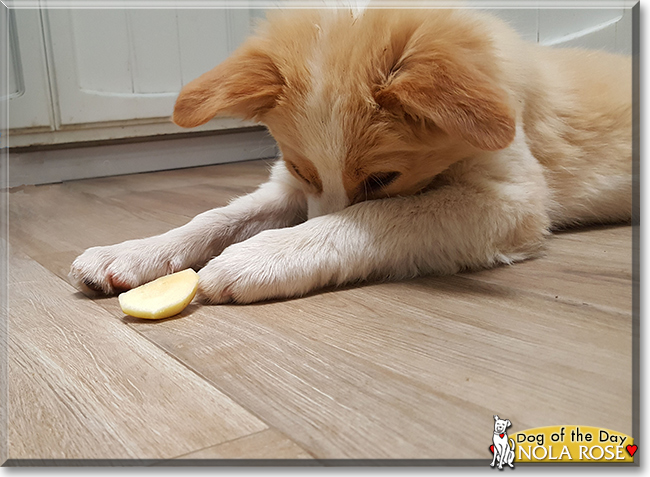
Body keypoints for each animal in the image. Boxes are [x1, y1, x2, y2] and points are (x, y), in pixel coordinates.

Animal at [67, 7, 628, 304]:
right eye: (300, 168)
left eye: (381, 179)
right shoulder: (289, 186)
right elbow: (215, 217)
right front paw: (130, 252)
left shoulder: (512, 200)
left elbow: (377, 218)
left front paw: (261, 256)